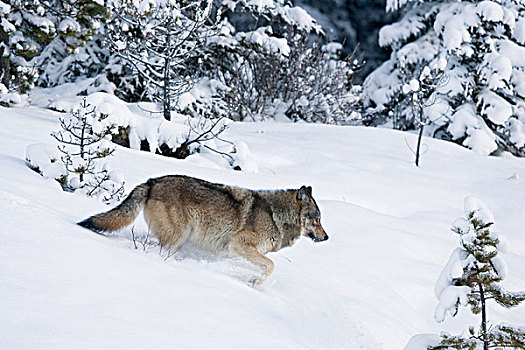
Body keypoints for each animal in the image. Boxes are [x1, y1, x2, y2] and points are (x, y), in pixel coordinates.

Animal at [77, 175, 328, 284]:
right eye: (316, 220)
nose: (326, 237)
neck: (277, 216)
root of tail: (151, 182)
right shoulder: (239, 245)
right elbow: (271, 266)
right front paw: (255, 283)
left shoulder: (236, 252)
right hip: (179, 235)